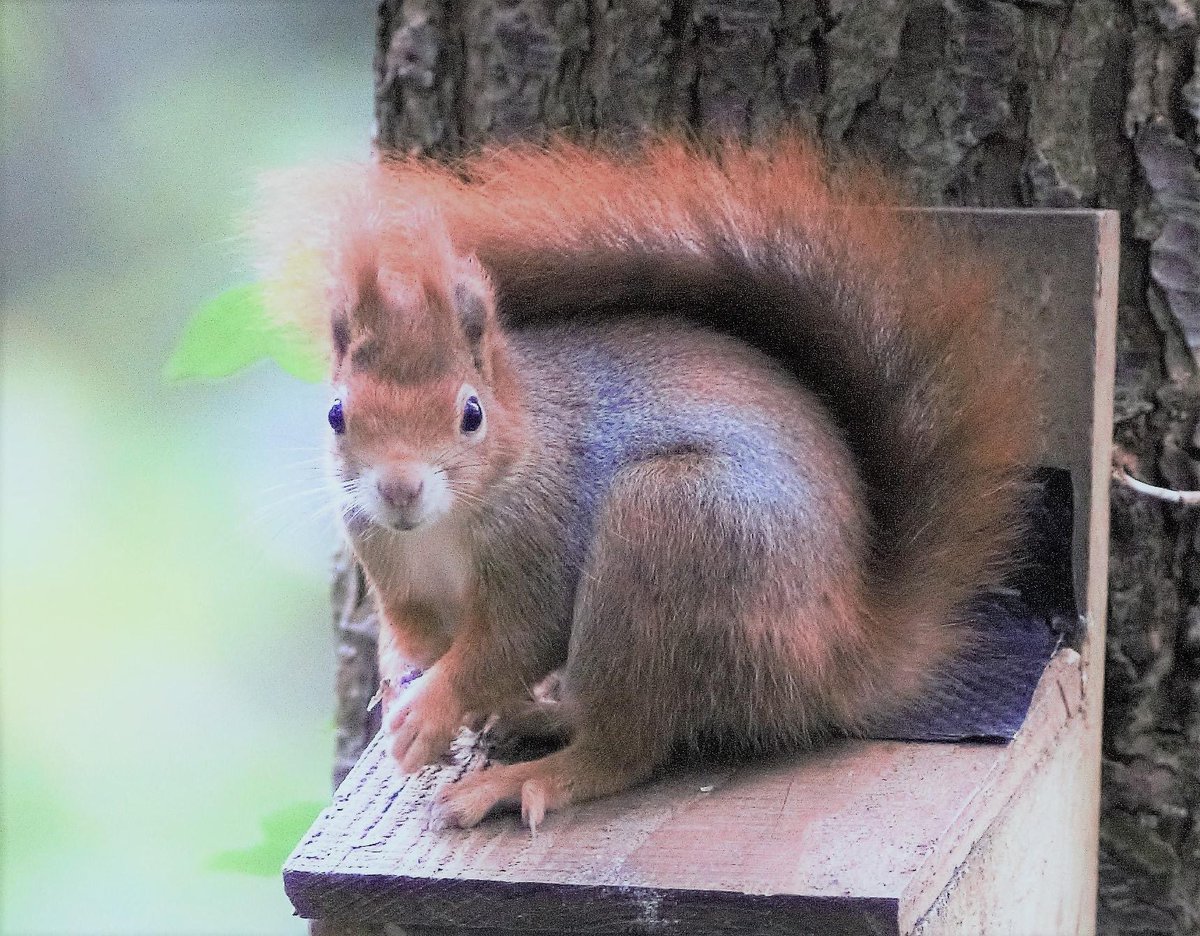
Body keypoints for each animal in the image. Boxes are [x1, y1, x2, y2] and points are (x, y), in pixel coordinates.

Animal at [255, 137, 1041, 825]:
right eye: (336, 414)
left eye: (471, 413)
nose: (399, 489)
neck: (447, 526)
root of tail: (846, 653)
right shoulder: (394, 567)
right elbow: (412, 635)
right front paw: (398, 688)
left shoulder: (546, 539)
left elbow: (510, 641)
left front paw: (430, 709)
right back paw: (535, 714)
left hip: (670, 532)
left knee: (623, 748)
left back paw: (525, 778)